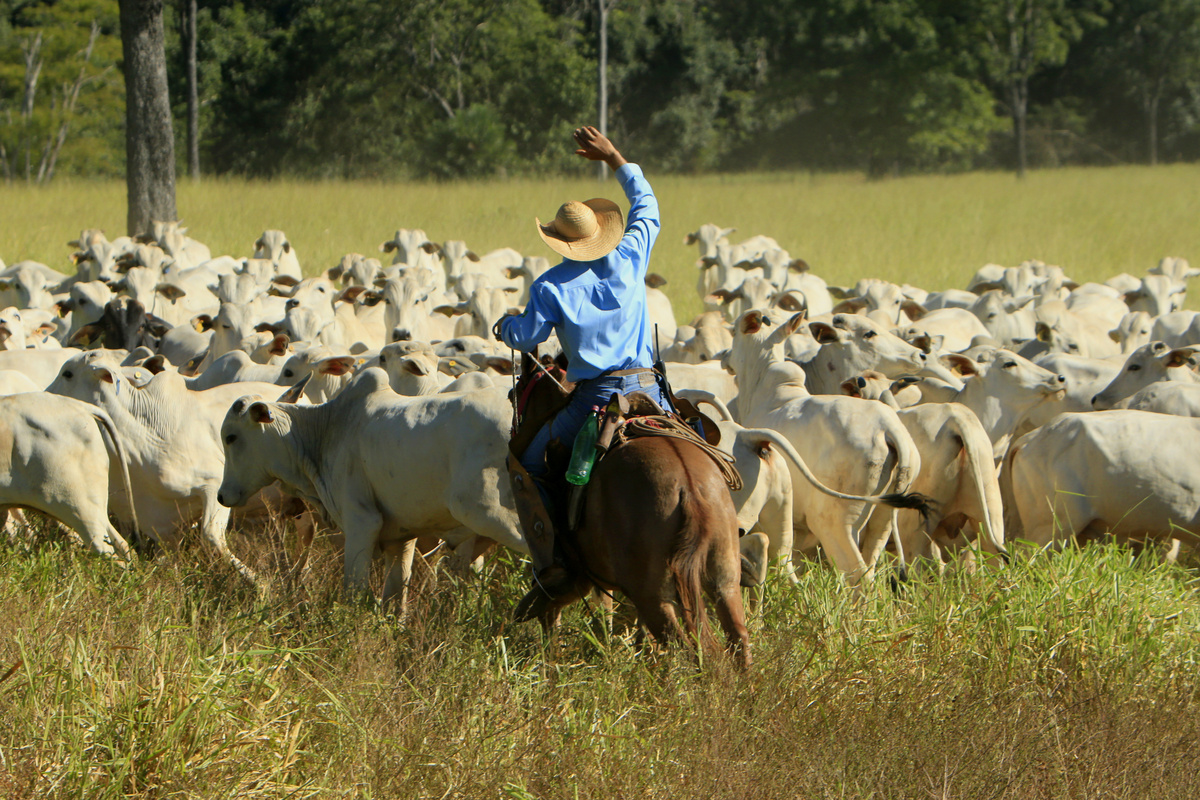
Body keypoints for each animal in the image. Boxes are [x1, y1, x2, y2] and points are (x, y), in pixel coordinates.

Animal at [508, 352, 748, 666]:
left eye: (516, 391)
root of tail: (687, 486)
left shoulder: (578, 574)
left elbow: (555, 607)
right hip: (724, 579)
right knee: (738, 639)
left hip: (653, 596)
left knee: (682, 646)